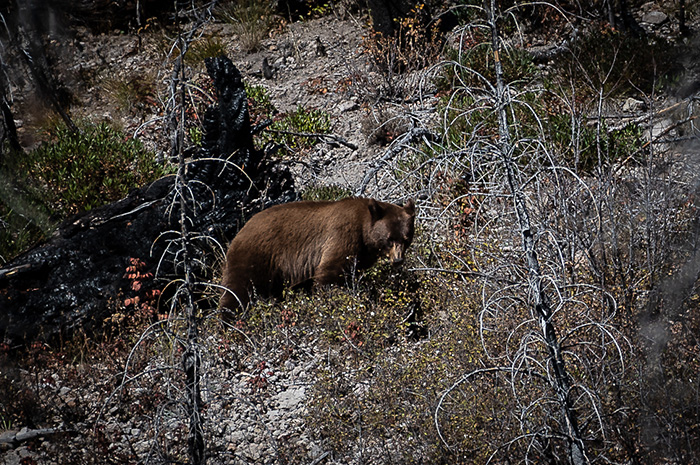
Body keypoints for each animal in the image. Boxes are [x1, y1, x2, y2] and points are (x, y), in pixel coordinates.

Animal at [220, 194, 416, 310]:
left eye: (406, 238)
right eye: (389, 238)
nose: (398, 260)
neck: (364, 229)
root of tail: (239, 232)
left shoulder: (362, 254)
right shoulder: (343, 235)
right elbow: (330, 272)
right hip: (256, 255)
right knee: (238, 289)